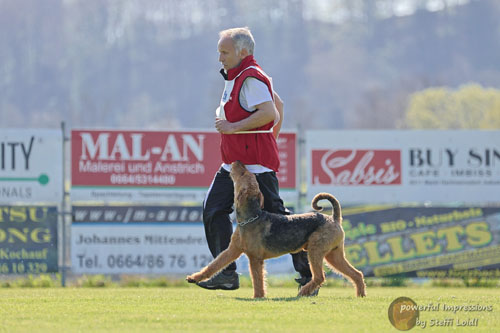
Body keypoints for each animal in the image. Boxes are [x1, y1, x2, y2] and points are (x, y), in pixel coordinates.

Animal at [186, 160, 366, 296]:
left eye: (244, 174)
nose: (237, 161)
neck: (251, 217)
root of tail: (334, 219)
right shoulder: (232, 250)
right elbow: (215, 264)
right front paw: (194, 278)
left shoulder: (255, 258)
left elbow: (258, 280)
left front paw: (258, 297)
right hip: (334, 255)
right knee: (356, 274)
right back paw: (360, 295)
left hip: (316, 251)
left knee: (320, 277)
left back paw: (304, 292)